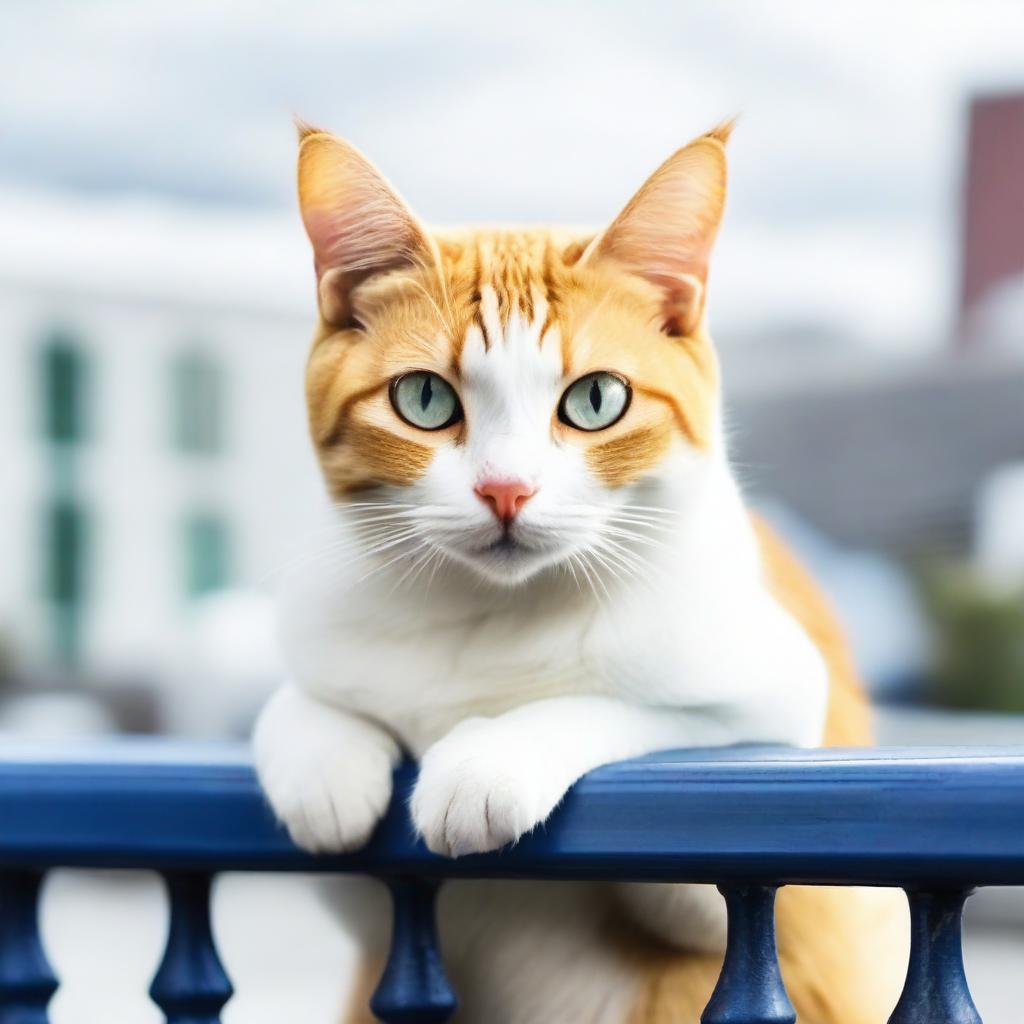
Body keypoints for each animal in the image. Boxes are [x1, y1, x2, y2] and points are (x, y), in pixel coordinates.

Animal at [253, 121, 905, 1024]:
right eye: (424, 399)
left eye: (596, 400)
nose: (506, 489)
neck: (488, 617)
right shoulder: (380, 920)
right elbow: (302, 709)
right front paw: (321, 759)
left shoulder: (779, 765)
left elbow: (639, 718)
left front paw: (489, 758)